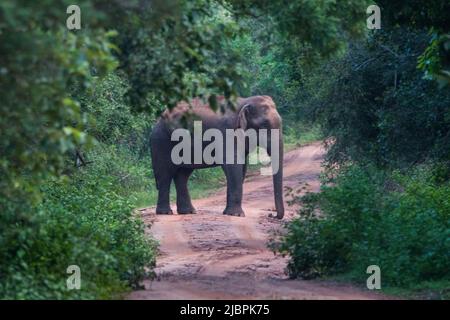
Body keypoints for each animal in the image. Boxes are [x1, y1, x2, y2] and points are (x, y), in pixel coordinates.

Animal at [151, 95, 284, 219]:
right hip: (162, 141)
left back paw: (188, 212)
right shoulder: (227, 132)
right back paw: (165, 213)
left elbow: (241, 168)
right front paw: (236, 215)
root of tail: (158, 120)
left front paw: (228, 213)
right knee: (165, 175)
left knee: (182, 175)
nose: (271, 214)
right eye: (264, 124)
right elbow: (233, 166)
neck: (245, 101)